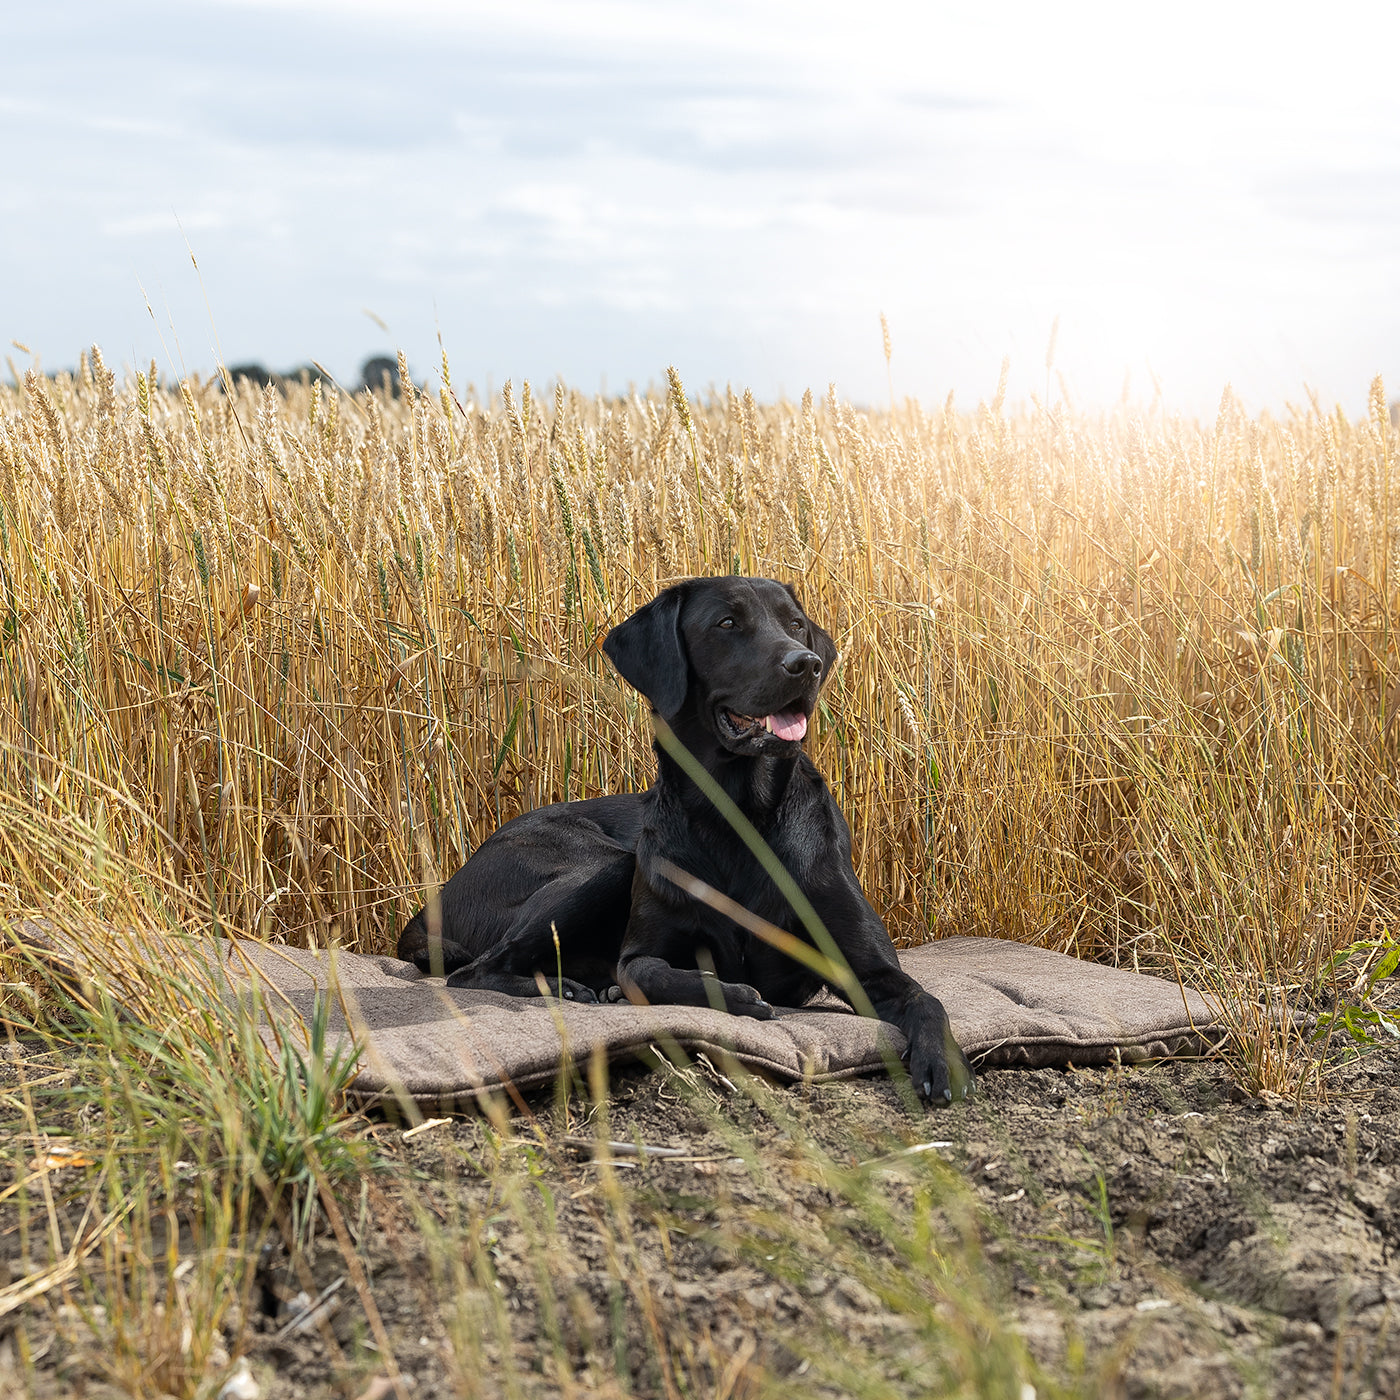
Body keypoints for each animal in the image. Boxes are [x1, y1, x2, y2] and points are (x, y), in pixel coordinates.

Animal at [397, 579, 974, 1103]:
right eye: (727, 623)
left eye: (795, 624)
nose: (806, 663)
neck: (739, 814)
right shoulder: (640, 952)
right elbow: (651, 973)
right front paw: (735, 995)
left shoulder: (869, 969)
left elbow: (927, 1000)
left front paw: (942, 1063)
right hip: (606, 867)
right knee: (474, 970)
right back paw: (569, 988)